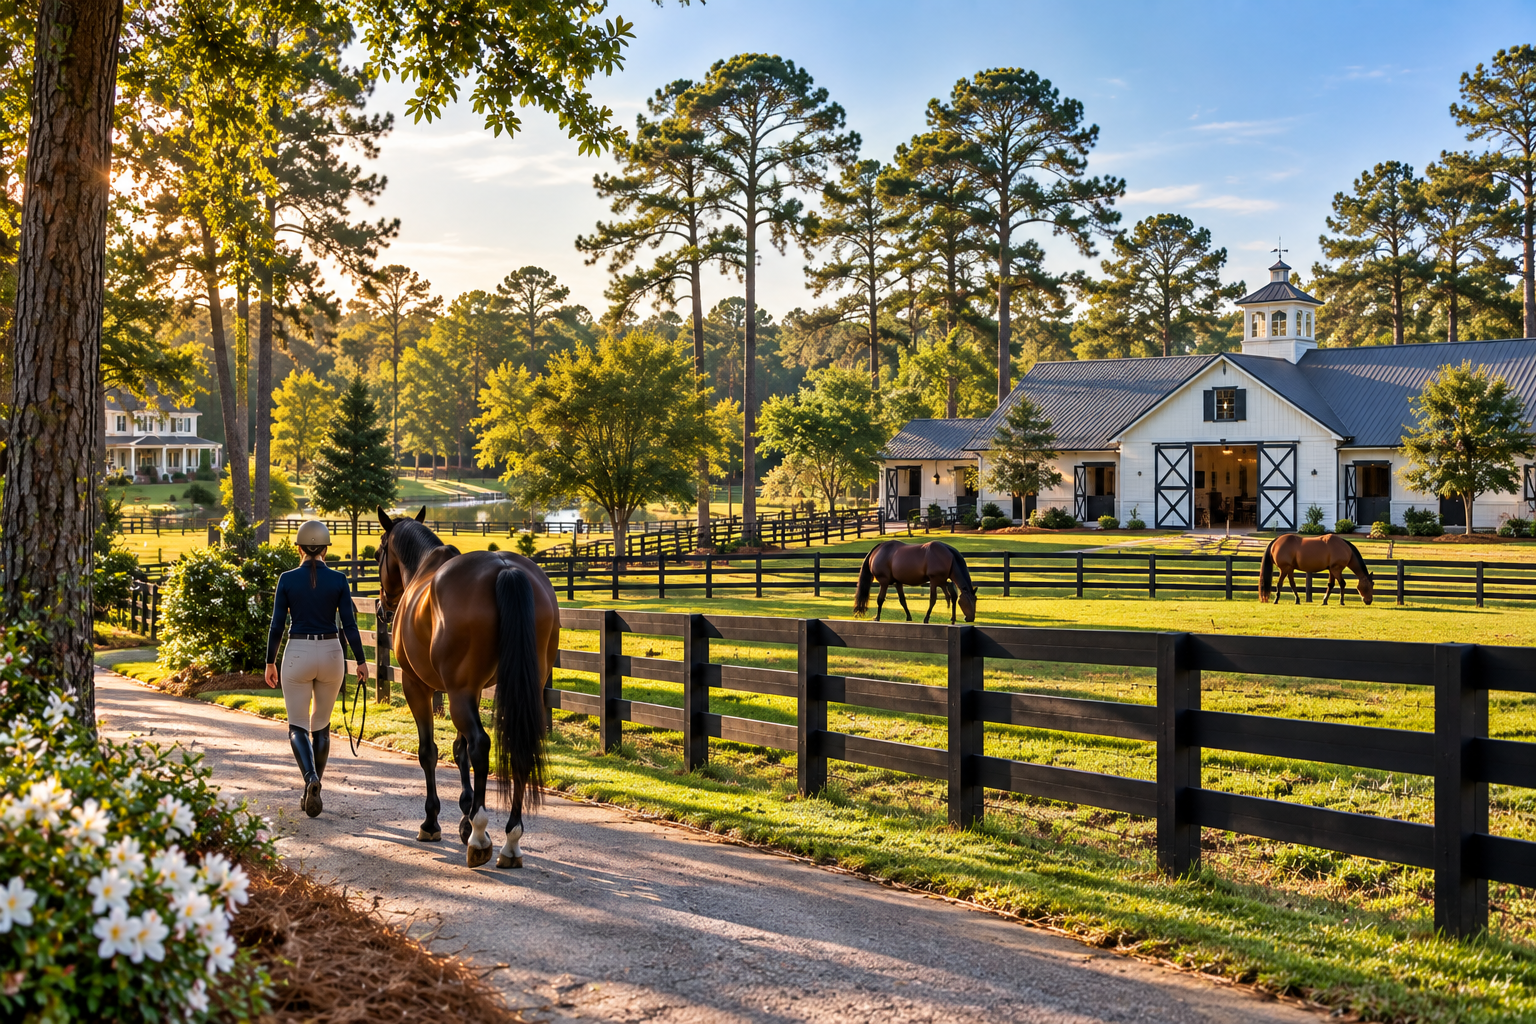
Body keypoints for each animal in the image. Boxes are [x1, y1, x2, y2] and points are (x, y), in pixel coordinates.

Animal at [375, 507, 560, 868]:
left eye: (378, 553)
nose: (382, 608)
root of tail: (506, 569)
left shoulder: (418, 686)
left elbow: (430, 752)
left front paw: (434, 822)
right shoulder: (463, 690)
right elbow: (459, 751)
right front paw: (464, 814)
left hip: (457, 693)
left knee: (480, 744)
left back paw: (480, 836)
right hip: (515, 688)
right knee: (517, 748)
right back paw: (510, 840)